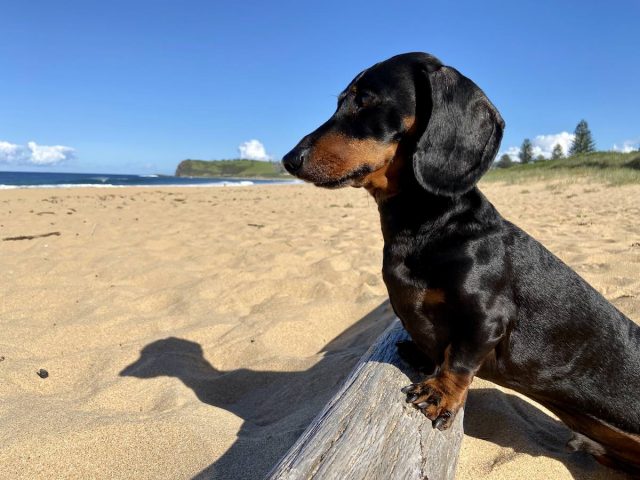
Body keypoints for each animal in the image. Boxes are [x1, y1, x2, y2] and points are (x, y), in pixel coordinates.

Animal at [282, 51, 640, 472]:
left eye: (365, 100)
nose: (289, 160)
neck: (432, 225)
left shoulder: (486, 317)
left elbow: (459, 358)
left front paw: (440, 393)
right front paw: (421, 354)